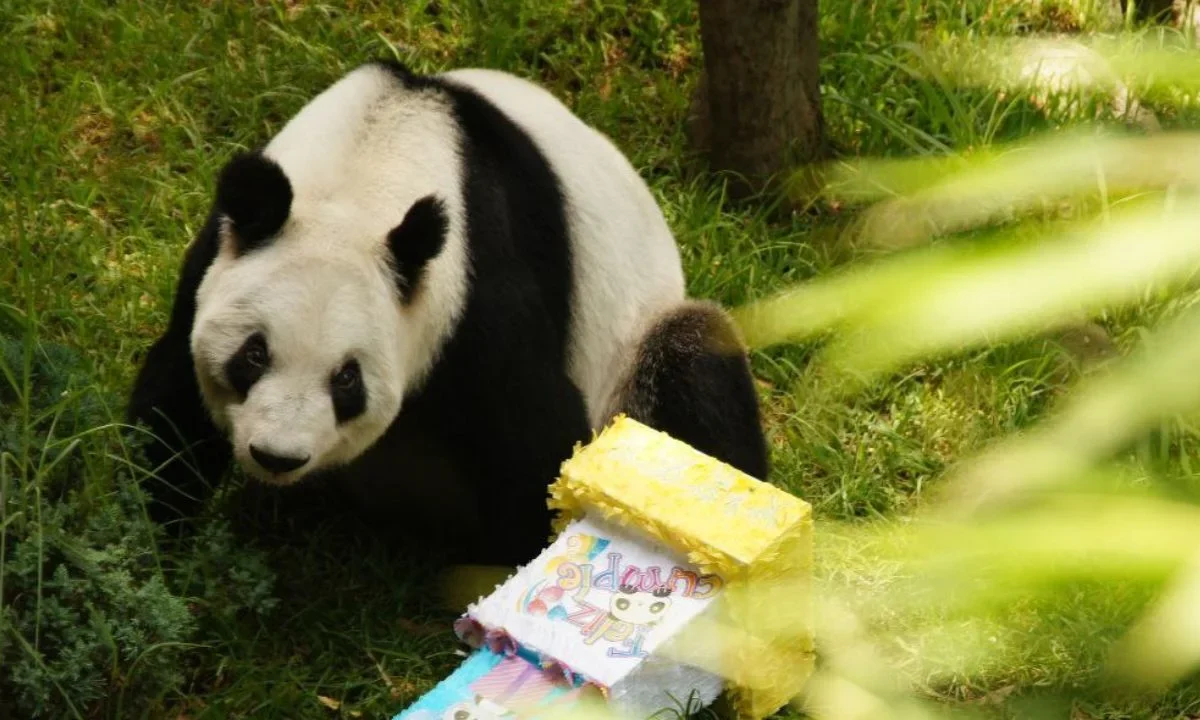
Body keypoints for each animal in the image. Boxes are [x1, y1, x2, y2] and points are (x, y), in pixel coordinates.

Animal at [127, 60, 768, 564]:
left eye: (346, 379)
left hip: (636, 353)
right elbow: (174, 393)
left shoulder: (478, 281)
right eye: (254, 354)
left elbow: (534, 432)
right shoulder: (214, 254)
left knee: (692, 372)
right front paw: (153, 549)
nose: (277, 457)